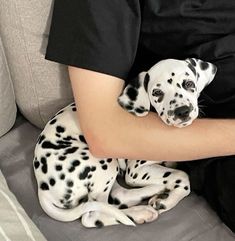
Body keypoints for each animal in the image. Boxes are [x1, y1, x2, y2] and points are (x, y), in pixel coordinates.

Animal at [33, 58, 217, 228]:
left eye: (189, 83)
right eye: (157, 92)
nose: (182, 111)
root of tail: (43, 188)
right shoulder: (136, 170)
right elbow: (182, 177)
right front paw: (168, 200)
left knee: (118, 196)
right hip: (102, 161)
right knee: (93, 214)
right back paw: (142, 210)